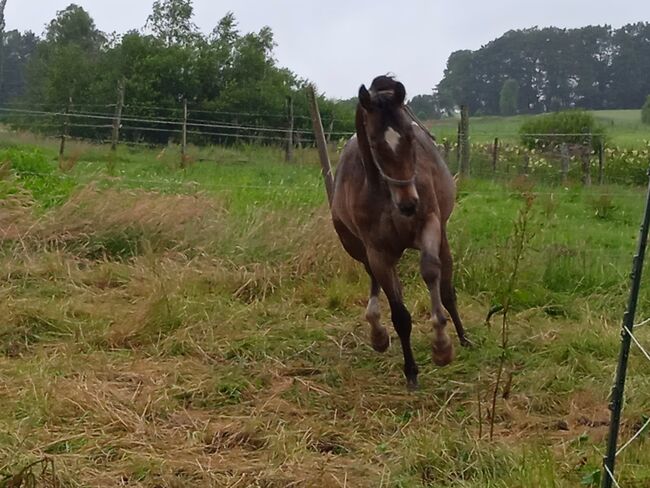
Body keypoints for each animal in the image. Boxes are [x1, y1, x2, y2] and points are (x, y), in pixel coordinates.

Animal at [326, 75, 468, 388]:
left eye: (411, 136)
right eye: (374, 143)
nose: (409, 204)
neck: (386, 196)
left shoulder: (429, 225)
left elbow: (430, 271)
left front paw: (442, 346)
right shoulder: (377, 251)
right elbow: (400, 314)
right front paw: (411, 370)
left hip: (442, 237)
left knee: (447, 287)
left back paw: (464, 337)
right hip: (358, 248)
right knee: (377, 280)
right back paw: (377, 333)